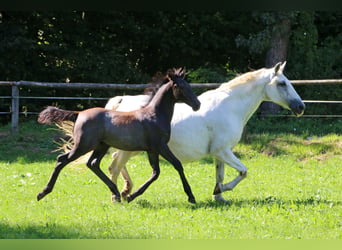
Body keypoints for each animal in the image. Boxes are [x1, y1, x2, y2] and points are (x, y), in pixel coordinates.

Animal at [36, 68, 200, 203]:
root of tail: (79, 114)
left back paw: (115, 191)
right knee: (62, 159)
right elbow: (177, 165)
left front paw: (130, 196)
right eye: (180, 86)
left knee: (92, 164)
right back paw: (42, 193)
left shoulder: (152, 150)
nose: (197, 105)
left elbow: (156, 173)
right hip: (83, 145)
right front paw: (191, 197)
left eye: (189, 85)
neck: (155, 115)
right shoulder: (160, 146)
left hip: (101, 146)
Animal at [104, 61, 304, 202]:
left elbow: (220, 174)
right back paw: (118, 197)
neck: (230, 107)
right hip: (130, 150)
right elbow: (243, 171)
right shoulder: (222, 150)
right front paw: (220, 190)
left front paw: (219, 197)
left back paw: (125, 191)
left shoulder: (221, 153)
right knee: (114, 166)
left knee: (114, 162)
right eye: (282, 83)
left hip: (133, 150)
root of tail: (121, 102)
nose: (301, 107)